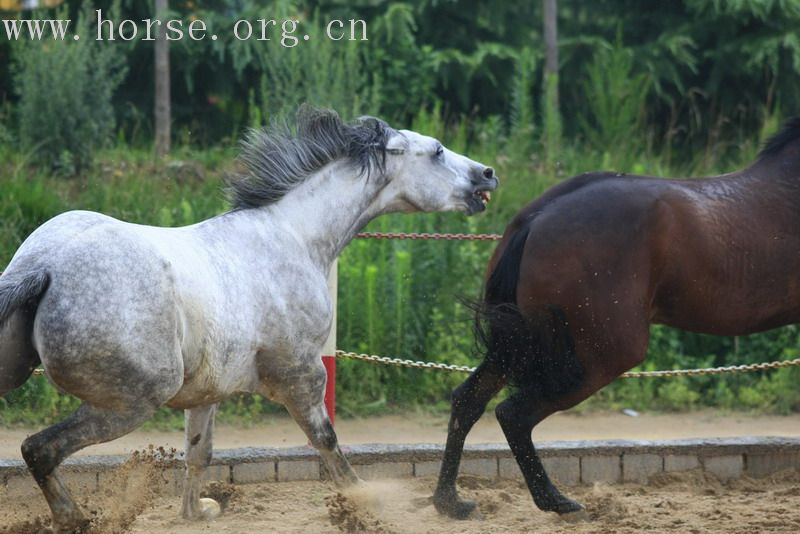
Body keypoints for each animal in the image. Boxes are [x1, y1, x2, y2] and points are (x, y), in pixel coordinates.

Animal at [0, 109, 496, 532]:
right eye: (437, 150)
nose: (488, 174)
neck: (294, 237)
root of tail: (43, 267)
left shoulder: (206, 391)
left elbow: (199, 453)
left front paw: (198, 512)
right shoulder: (302, 373)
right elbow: (326, 440)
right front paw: (365, 503)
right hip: (132, 401)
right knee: (39, 449)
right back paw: (75, 520)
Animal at [434, 118, 800, 520]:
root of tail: (535, 219)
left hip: (520, 342)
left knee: (468, 401)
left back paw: (450, 501)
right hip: (603, 354)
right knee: (513, 413)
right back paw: (557, 501)